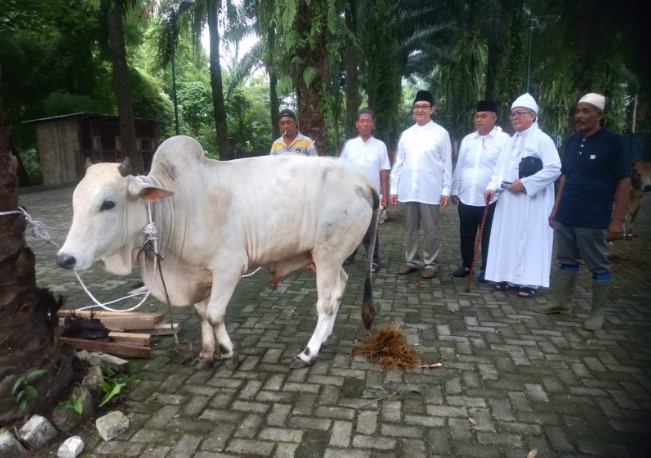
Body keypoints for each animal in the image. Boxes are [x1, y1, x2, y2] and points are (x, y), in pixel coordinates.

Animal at [59, 135, 382, 368]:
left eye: (108, 203)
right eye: (74, 200)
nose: (65, 258)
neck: (176, 204)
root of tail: (363, 180)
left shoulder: (228, 268)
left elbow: (215, 314)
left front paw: (227, 352)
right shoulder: (200, 275)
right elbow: (202, 314)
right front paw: (205, 353)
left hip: (329, 253)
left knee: (325, 303)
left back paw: (308, 353)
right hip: (327, 258)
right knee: (339, 289)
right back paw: (324, 337)